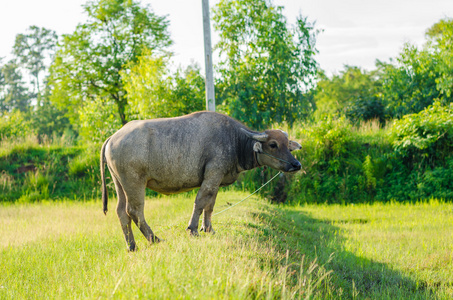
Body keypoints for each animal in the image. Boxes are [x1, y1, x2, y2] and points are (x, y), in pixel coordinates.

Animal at [100, 111, 298, 250]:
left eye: (288, 146)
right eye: (273, 144)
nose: (296, 164)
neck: (235, 140)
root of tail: (113, 137)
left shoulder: (216, 179)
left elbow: (210, 204)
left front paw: (208, 228)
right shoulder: (212, 174)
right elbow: (201, 201)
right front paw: (193, 229)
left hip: (119, 184)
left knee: (121, 212)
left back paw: (131, 246)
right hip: (134, 183)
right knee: (134, 211)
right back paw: (154, 239)